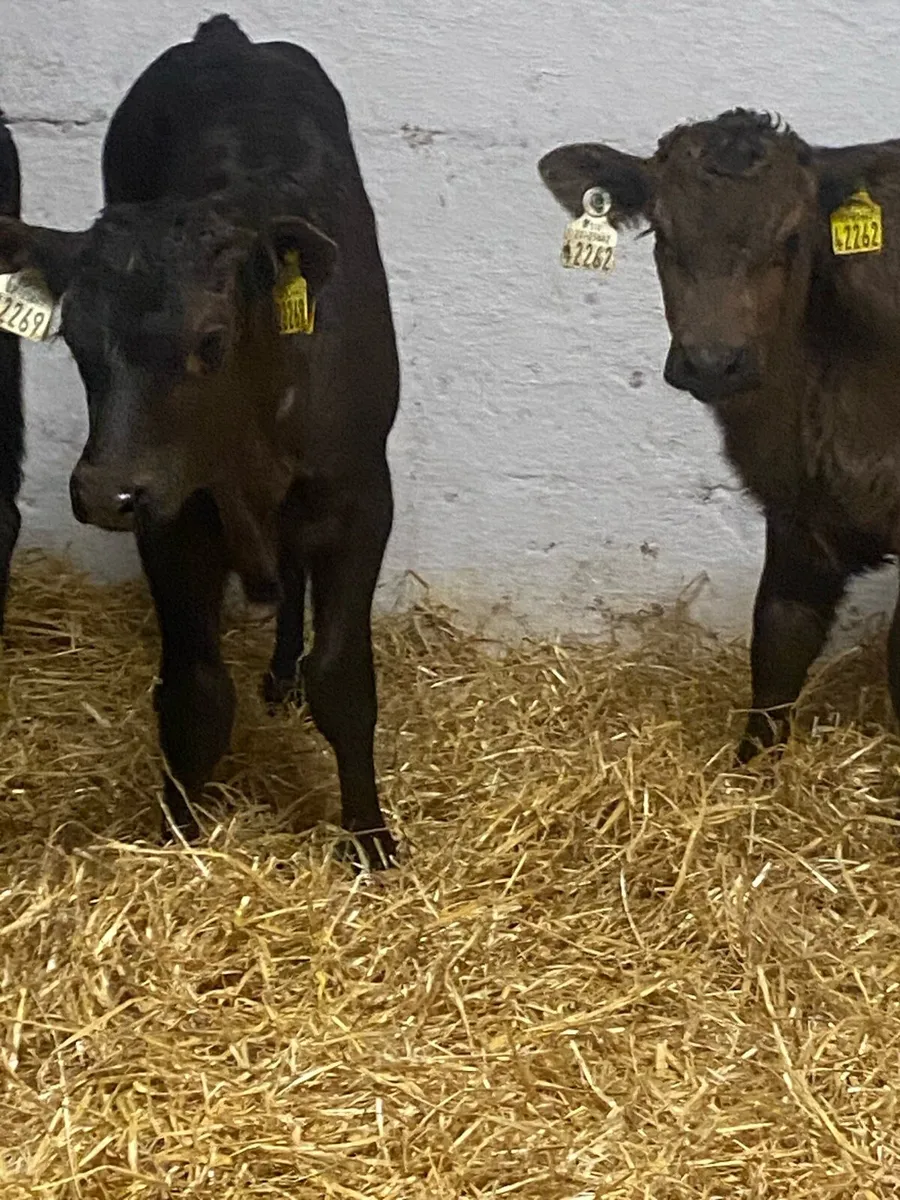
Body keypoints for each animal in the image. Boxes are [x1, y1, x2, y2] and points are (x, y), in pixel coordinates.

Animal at [0, 15, 399, 867]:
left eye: (210, 340)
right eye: (76, 342)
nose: (102, 491)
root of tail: (227, 37)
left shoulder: (358, 496)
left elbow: (343, 678)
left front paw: (371, 841)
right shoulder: (174, 512)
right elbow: (195, 694)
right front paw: (177, 835)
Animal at [539, 110, 900, 763]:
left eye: (792, 237)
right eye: (661, 233)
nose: (712, 363)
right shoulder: (795, 510)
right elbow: (778, 642)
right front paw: (750, 772)